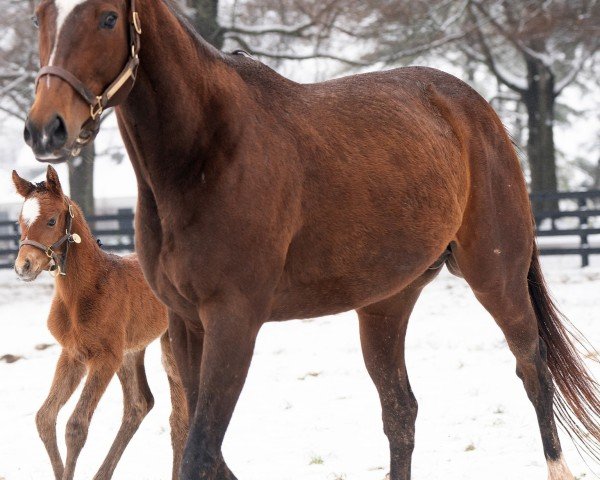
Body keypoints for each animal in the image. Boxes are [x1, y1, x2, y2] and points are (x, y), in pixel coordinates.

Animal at [12, 166, 188, 480]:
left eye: (51, 220)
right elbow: (45, 417)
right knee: (139, 404)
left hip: (166, 345)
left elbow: (76, 426)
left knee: (179, 416)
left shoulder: (104, 358)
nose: (23, 267)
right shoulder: (73, 355)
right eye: (21, 221)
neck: (84, 292)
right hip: (129, 352)